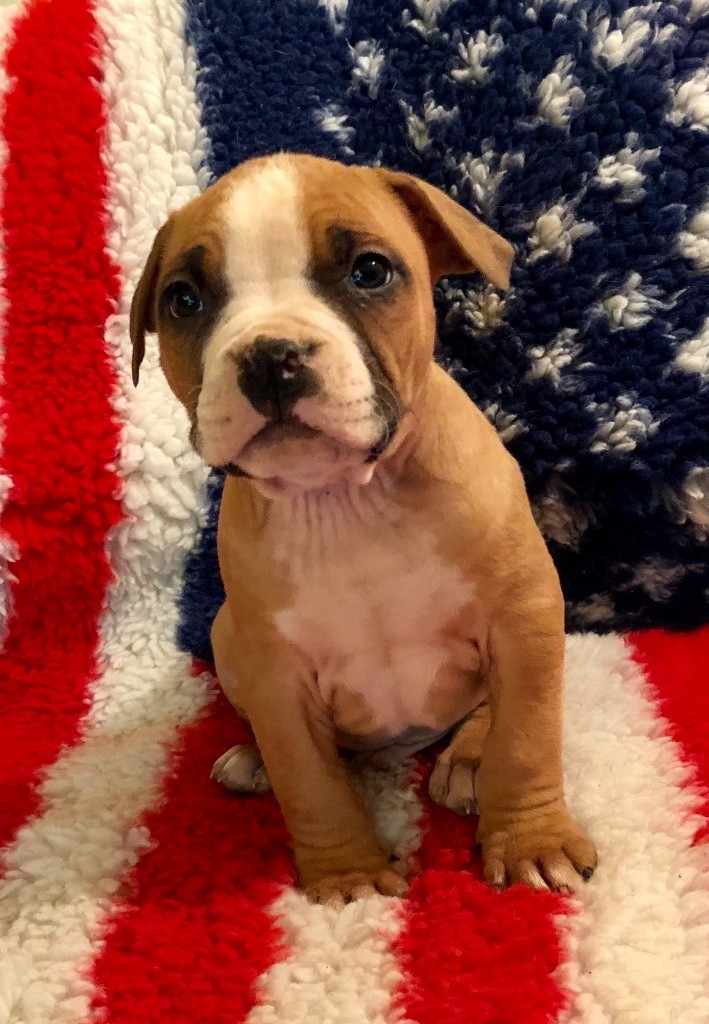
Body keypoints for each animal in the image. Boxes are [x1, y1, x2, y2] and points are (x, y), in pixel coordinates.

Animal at [131, 153, 597, 904]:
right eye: (184, 301)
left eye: (370, 271)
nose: (270, 355)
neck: (345, 499)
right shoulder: (276, 674)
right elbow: (310, 782)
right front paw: (348, 876)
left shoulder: (522, 614)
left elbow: (526, 738)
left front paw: (533, 841)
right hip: (227, 634)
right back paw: (254, 760)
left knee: (490, 712)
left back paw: (469, 758)